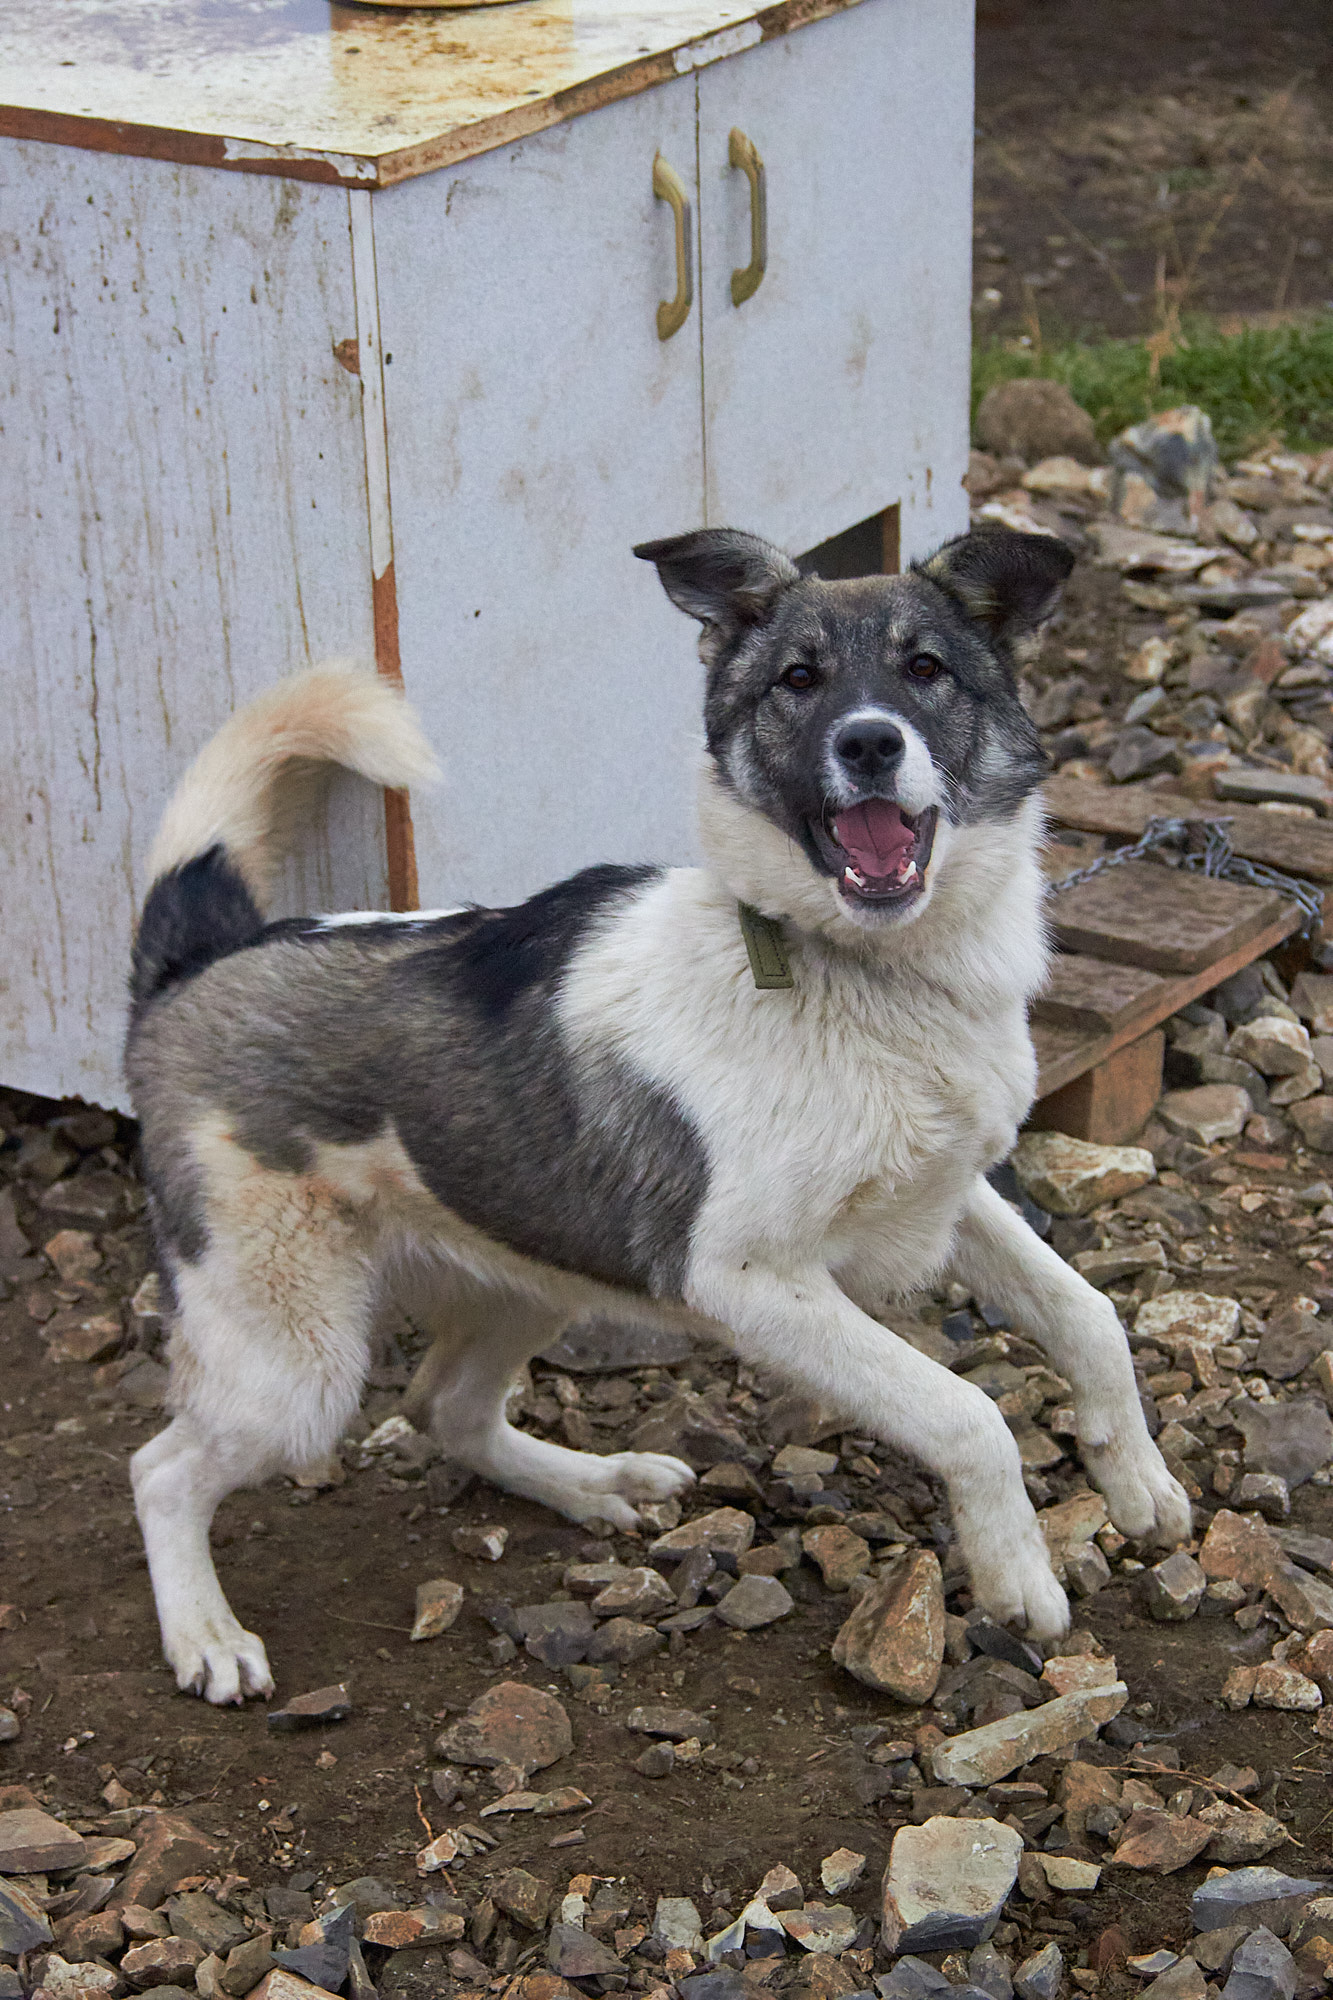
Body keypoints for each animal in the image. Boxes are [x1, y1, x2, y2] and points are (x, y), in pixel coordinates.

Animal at [124, 528, 1184, 1704]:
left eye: (926, 669)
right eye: (798, 680)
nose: (867, 742)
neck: (861, 977)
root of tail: (198, 964)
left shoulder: (949, 1194)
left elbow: (1089, 1316)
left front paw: (1136, 1477)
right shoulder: (745, 1278)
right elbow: (967, 1412)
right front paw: (1015, 1573)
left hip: (533, 1262)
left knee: (450, 1407)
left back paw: (596, 1482)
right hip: (293, 1360)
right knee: (162, 1470)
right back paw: (206, 1636)